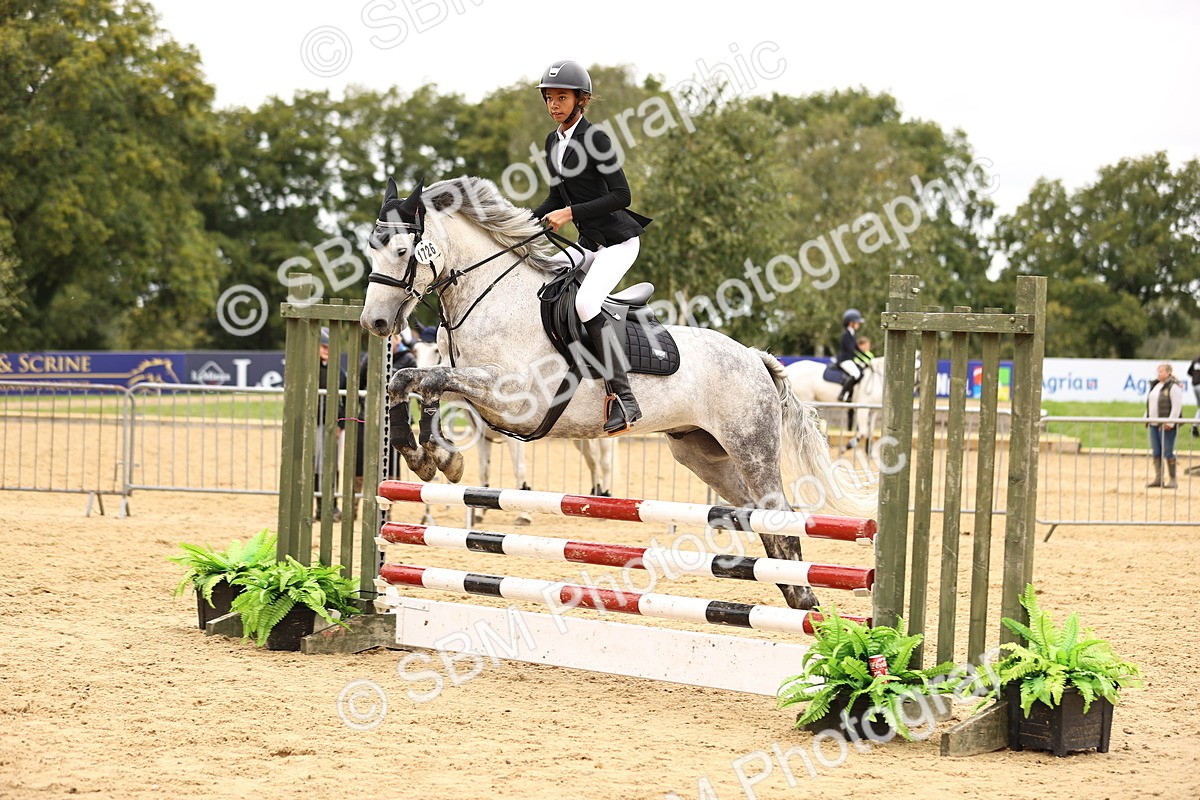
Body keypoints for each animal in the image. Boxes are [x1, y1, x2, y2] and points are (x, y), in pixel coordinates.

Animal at [360, 175, 874, 611]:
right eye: (371, 250)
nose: (375, 323)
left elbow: (429, 381)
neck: (494, 299)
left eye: (403, 250)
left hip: (750, 444)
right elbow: (412, 381)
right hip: (702, 452)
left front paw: (438, 456)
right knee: (754, 512)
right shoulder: (480, 393)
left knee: (778, 512)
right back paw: (788, 590)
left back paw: (804, 599)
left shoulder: (517, 400)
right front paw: (429, 455)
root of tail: (754, 357)